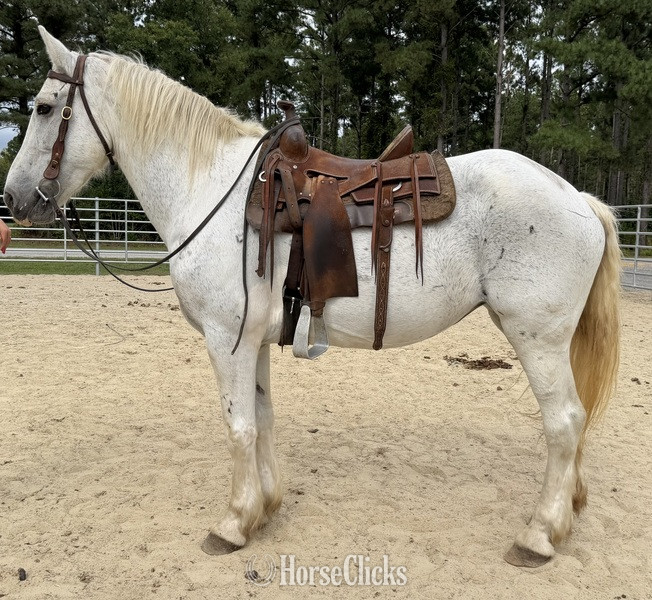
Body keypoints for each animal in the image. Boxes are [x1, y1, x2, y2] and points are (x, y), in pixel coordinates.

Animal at [3, 27, 621, 567]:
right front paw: (265, 507)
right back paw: (568, 511)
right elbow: (263, 418)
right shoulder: (253, 339)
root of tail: (580, 199)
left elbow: (239, 427)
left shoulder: (226, 339)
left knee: (565, 422)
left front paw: (233, 523)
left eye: (43, 107)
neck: (212, 190)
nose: (13, 199)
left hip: (536, 338)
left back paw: (540, 534)